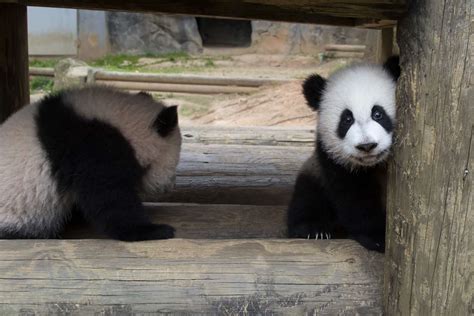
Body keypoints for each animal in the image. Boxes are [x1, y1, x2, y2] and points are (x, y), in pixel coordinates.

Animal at [288, 56, 400, 252]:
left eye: (378, 113)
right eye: (347, 119)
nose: (367, 145)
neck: (374, 164)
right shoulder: (332, 160)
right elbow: (354, 197)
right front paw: (377, 237)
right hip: (313, 174)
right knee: (307, 197)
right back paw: (312, 228)